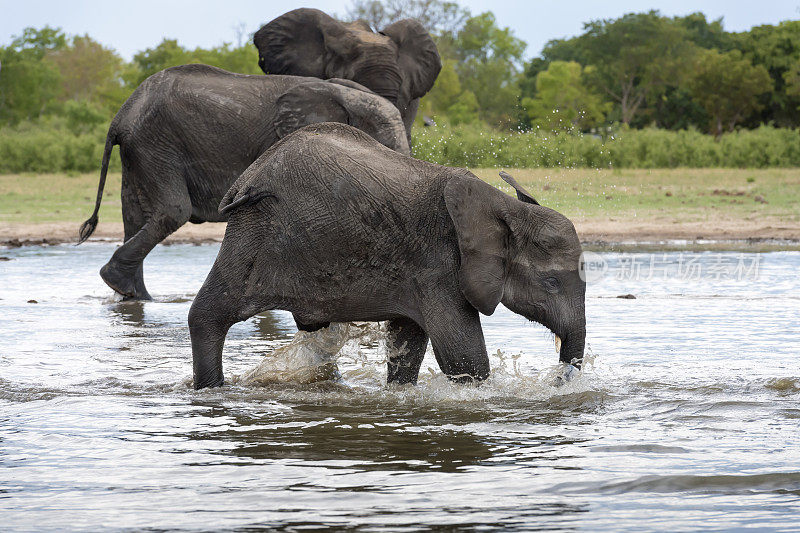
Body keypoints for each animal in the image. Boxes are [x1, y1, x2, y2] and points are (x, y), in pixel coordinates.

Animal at [78, 63, 410, 300]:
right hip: (156, 143)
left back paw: (134, 295)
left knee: (133, 216)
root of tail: (121, 114)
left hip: (139, 150)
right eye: (384, 144)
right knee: (173, 211)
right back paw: (124, 286)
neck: (342, 92)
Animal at [189, 122, 588, 388]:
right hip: (255, 230)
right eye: (552, 282)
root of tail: (247, 178)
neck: (507, 207)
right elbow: (464, 355)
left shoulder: (419, 273)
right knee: (209, 313)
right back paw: (213, 390)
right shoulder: (440, 266)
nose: (558, 380)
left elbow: (408, 343)